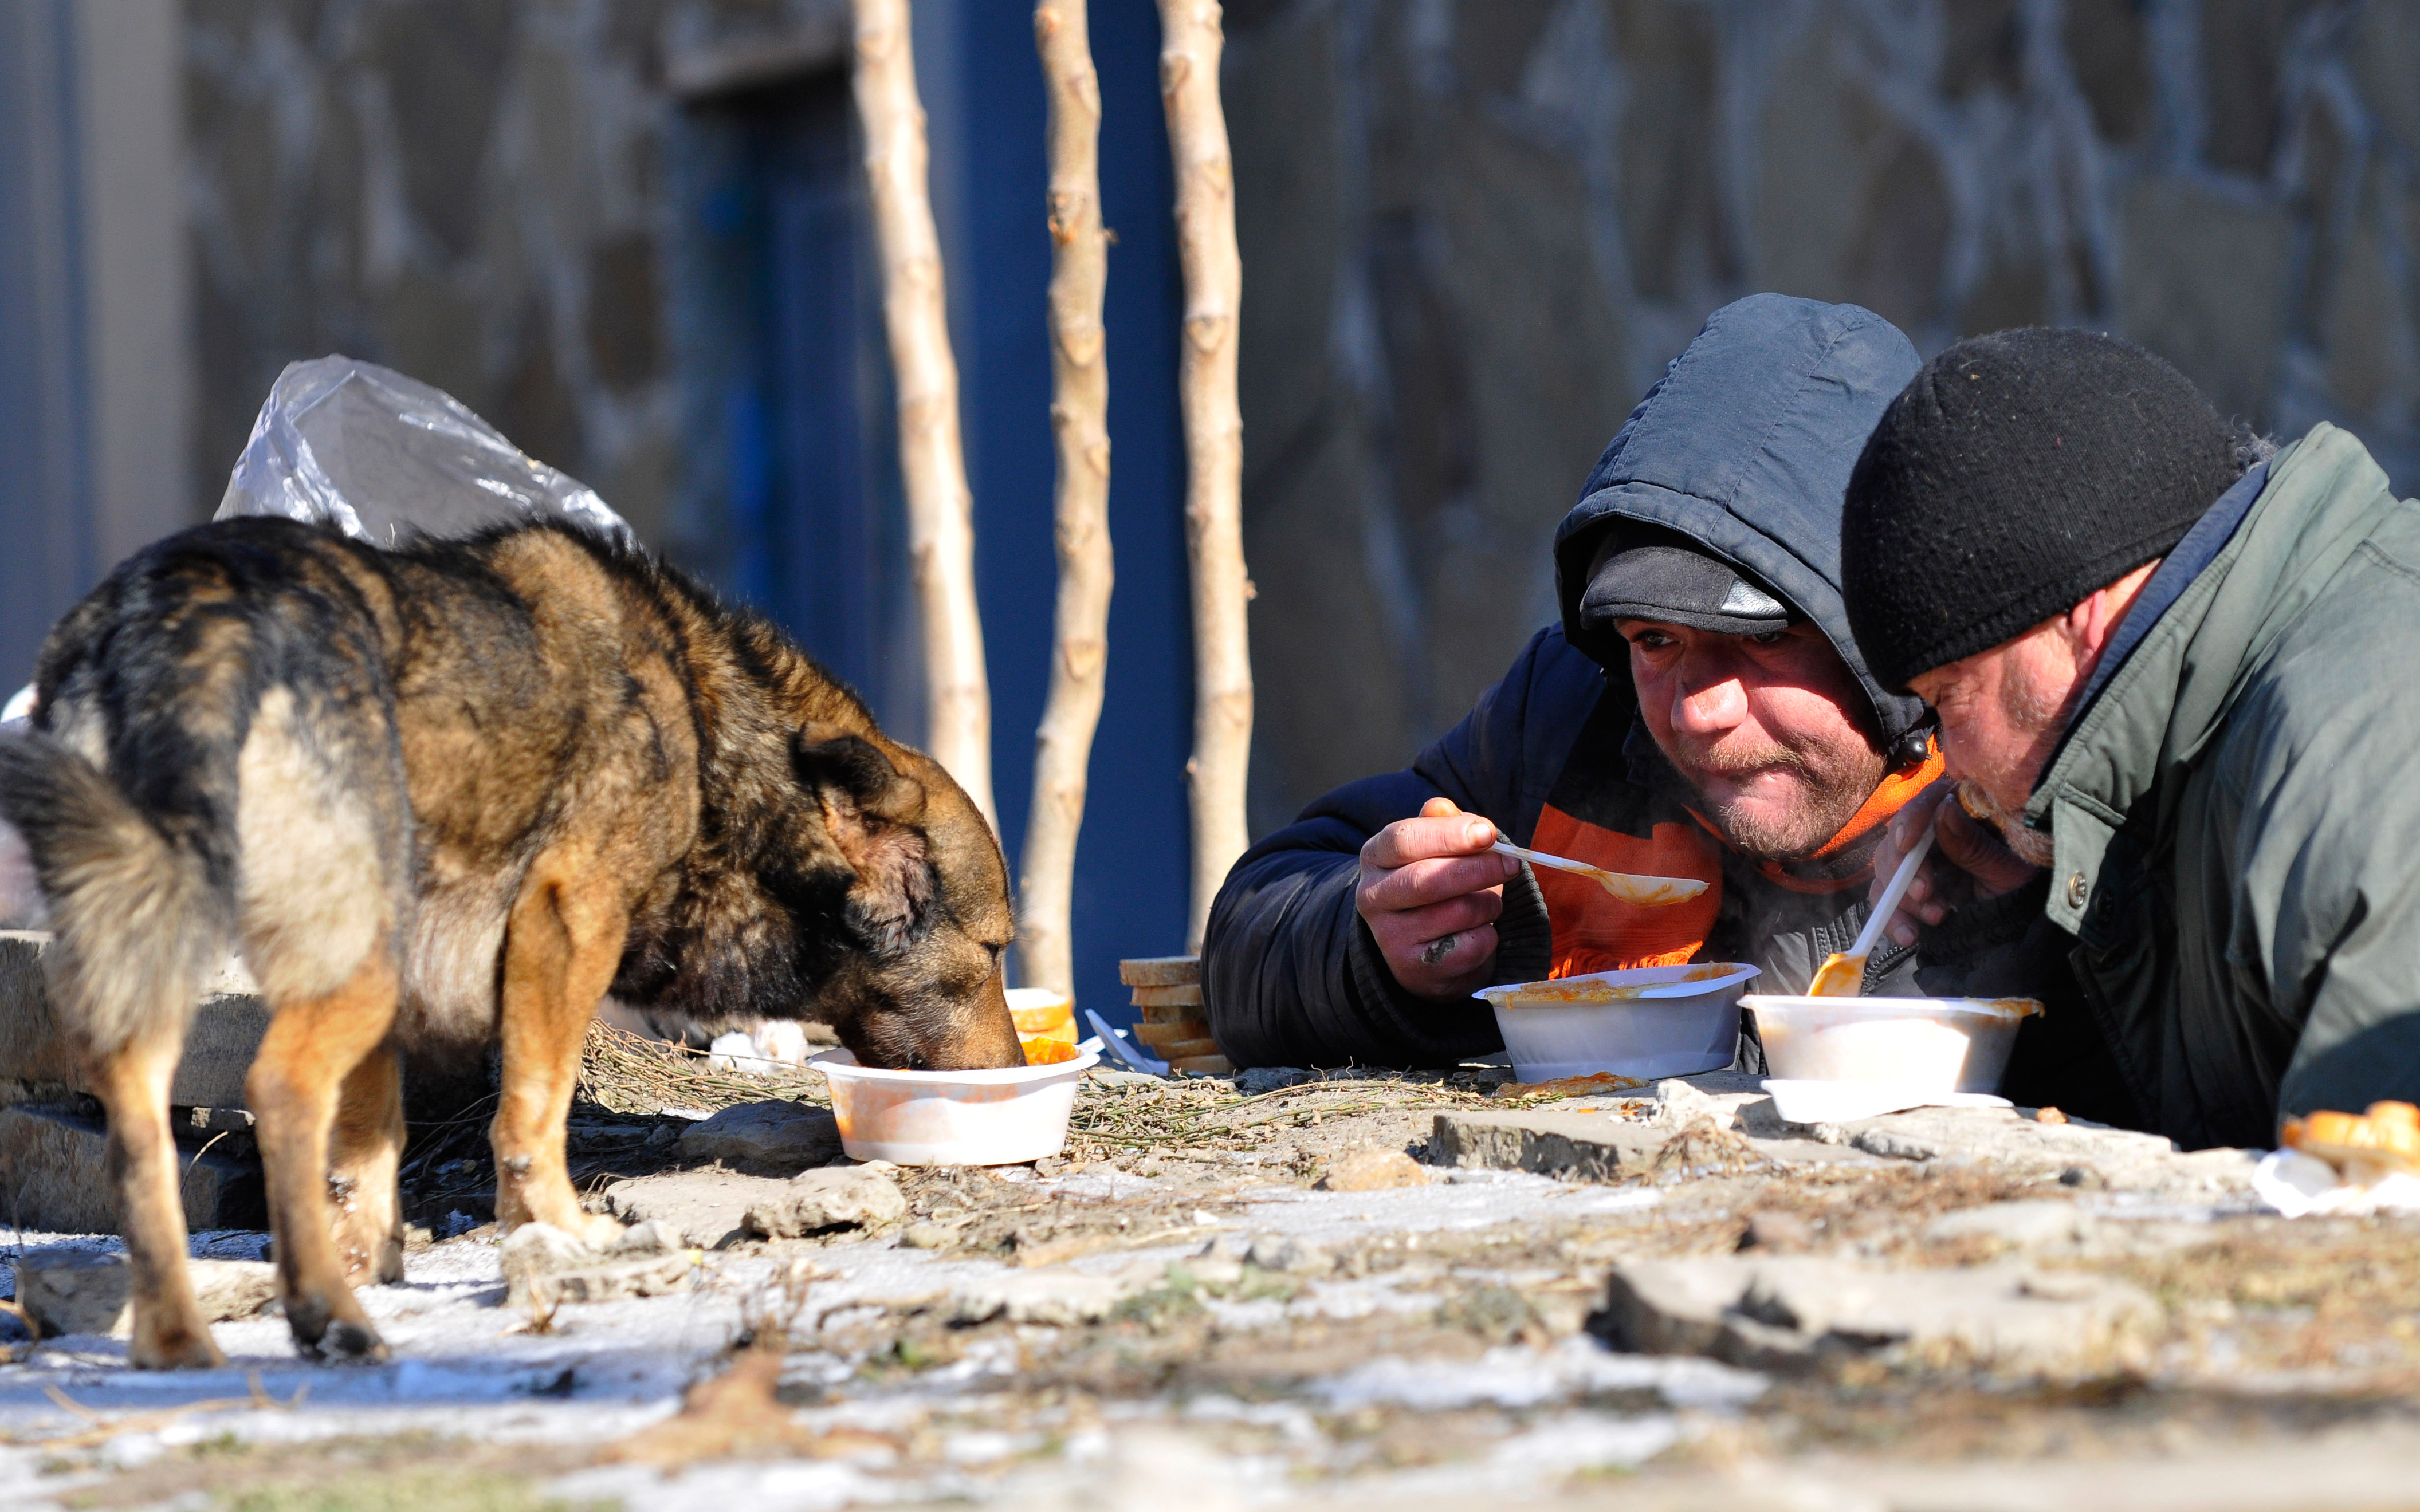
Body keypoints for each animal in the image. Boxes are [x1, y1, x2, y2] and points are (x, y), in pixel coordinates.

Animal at [0, 513, 1021, 1364]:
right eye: (996, 952)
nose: (1015, 1076)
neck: (711, 735)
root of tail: (178, 614)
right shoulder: (568, 920)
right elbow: (533, 1111)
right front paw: (559, 1232)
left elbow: (368, 1143)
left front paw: (372, 1257)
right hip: (348, 960)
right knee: (281, 1090)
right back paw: (322, 1313)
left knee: (138, 1132)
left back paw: (181, 1341)